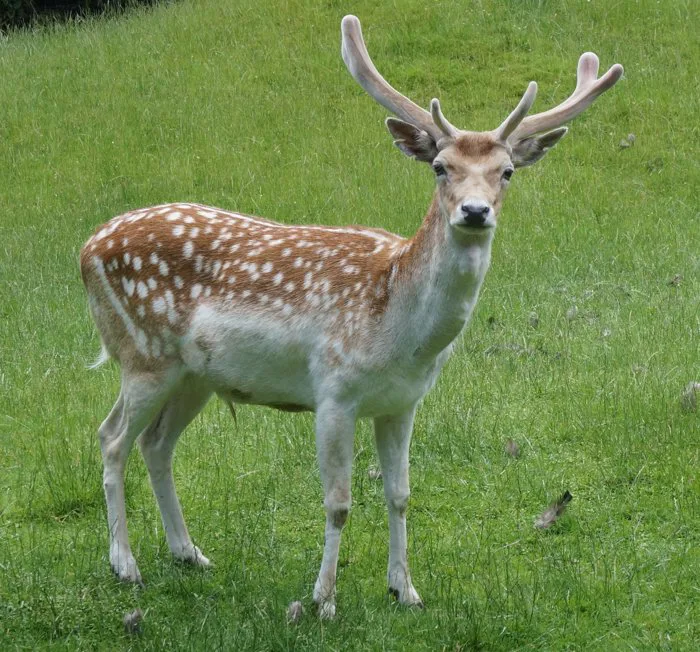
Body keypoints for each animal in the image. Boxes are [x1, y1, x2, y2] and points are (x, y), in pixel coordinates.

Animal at [79, 15, 622, 619]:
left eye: (506, 172)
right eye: (440, 167)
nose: (475, 211)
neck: (402, 337)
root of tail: (86, 248)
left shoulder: (403, 403)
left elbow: (401, 494)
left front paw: (405, 589)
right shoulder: (333, 391)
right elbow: (338, 502)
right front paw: (323, 601)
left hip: (195, 374)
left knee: (156, 443)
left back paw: (189, 553)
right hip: (142, 355)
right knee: (110, 438)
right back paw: (125, 565)